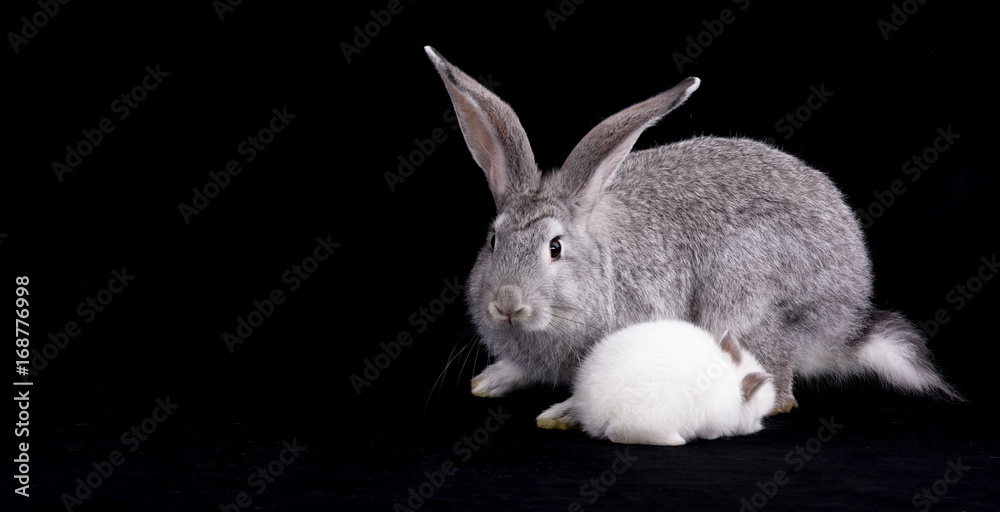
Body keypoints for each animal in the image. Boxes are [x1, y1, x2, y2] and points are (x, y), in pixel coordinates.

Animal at [423, 46, 962, 417]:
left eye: (554, 248)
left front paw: (563, 414)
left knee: (777, 383)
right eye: (492, 241)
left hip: (746, 301)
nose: (507, 304)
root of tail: (844, 328)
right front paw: (491, 381)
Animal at [536, 320, 776, 445]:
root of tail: (589, 405)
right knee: (617, 434)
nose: (758, 426)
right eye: (758, 415)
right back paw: (675, 440)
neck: (729, 379)